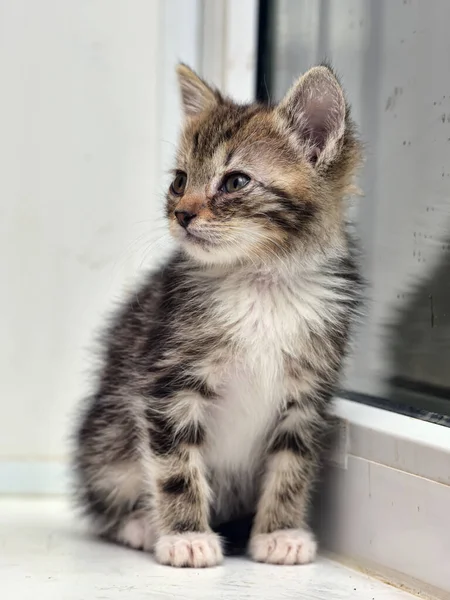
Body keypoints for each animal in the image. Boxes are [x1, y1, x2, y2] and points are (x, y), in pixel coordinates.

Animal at [74, 64, 362, 568]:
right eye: (179, 180)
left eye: (235, 182)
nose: (182, 213)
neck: (262, 281)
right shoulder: (167, 382)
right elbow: (175, 467)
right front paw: (186, 537)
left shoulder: (307, 395)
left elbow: (293, 466)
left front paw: (280, 532)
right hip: (106, 437)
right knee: (103, 492)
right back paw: (138, 524)